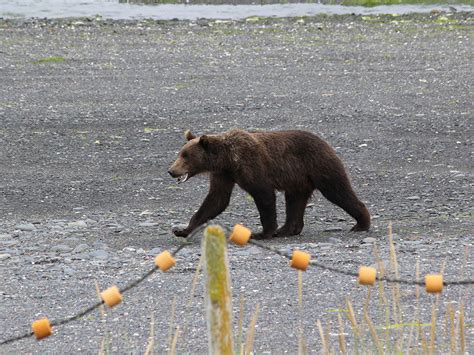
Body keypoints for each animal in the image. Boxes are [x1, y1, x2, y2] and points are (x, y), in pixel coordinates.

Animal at [168, 128, 370, 239]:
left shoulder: (251, 165)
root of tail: (326, 142)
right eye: (180, 154)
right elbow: (216, 200)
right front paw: (183, 230)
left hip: (318, 165)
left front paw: (262, 233)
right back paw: (287, 229)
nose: (171, 171)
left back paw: (361, 223)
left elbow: (263, 195)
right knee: (295, 200)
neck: (228, 160)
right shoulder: (223, 175)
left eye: (186, 156)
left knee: (338, 191)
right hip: (297, 179)